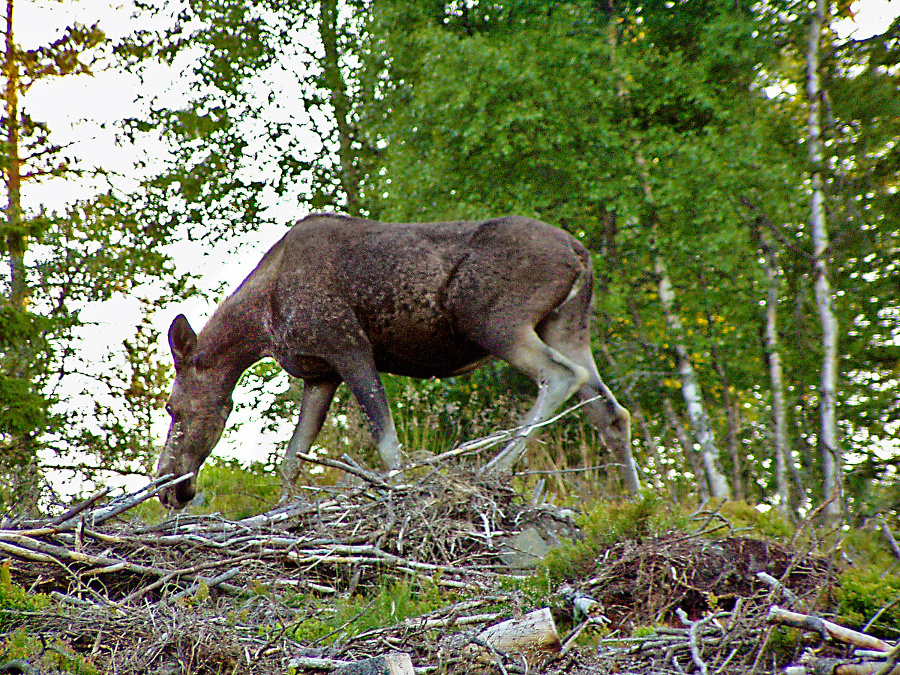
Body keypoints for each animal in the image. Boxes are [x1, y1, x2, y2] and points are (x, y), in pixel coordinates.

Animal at [158, 214, 644, 510]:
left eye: (171, 407)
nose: (169, 485)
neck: (261, 324)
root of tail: (582, 255)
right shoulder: (320, 374)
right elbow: (293, 456)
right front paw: (283, 509)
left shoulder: (349, 346)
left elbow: (387, 442)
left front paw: (401, 489)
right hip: (566, 326)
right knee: (611, 411)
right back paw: (635, 500)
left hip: (492, 319)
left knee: (559, 377)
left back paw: (493, 468)